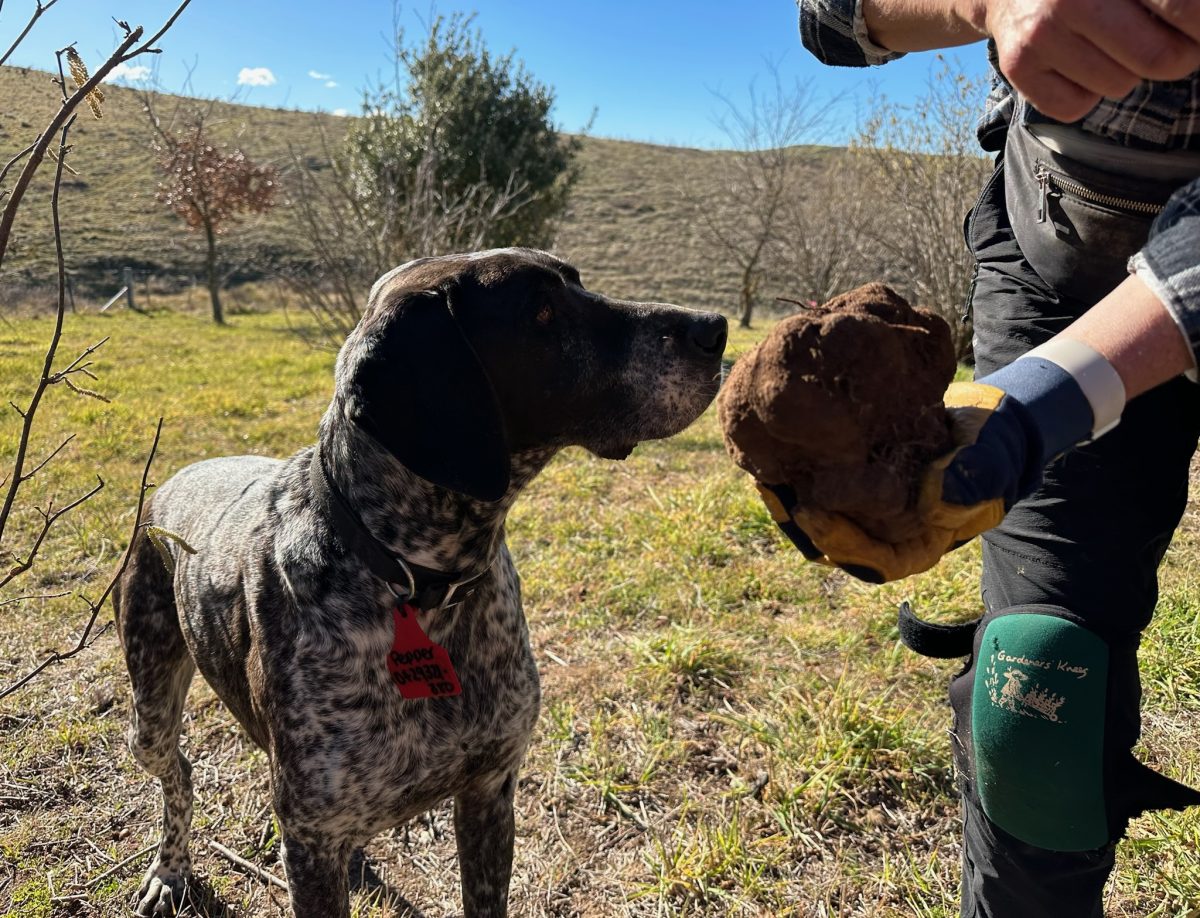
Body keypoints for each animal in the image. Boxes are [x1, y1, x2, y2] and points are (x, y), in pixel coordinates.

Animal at [114, 244, 729, 916]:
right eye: (541, 313)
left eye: (577, 284)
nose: (716, 329)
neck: (421, 581)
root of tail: (173, 482)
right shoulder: (311, 841)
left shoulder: (489, 789)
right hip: (149, 713)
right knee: (178, 773)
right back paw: (170, 871)